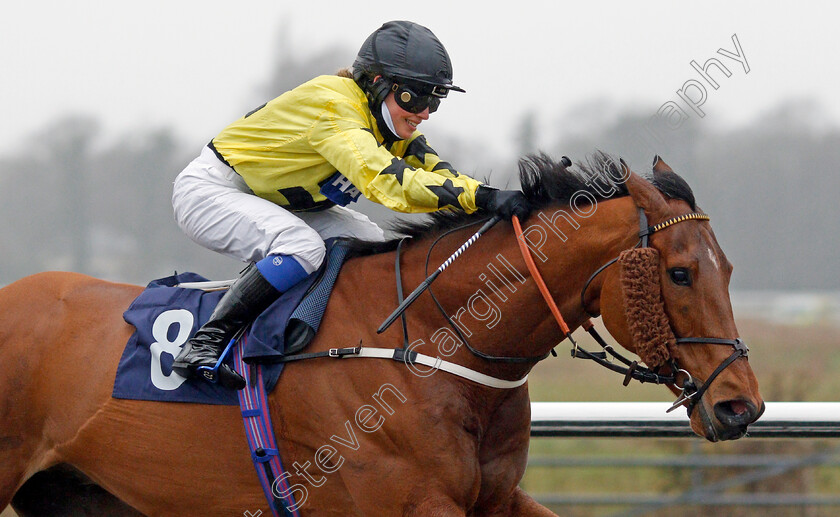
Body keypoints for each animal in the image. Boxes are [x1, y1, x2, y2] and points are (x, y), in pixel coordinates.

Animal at [0, 152, 760, 512]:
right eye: (682, 273)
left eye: (729, 268)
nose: (741, 406)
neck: (428, 340)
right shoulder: (408, 500)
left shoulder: (494, 498)